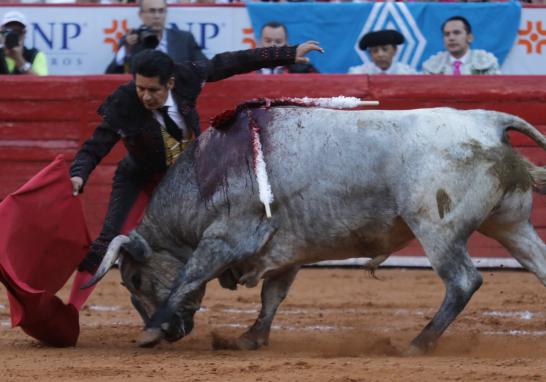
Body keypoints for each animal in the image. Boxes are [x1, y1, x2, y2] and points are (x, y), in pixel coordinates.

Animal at [84, 102, 544, 356]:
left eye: (134, 280)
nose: (177, 333)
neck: (204, 178)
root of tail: (486, 121)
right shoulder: (287, 249)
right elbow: (273, 296)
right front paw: (250, 338)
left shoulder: (225, 239)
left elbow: (189, 277)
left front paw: (151, 330)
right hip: (511, 225)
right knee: (538, 264)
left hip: (437, 229)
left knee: (463, 281)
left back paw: (419, 342)